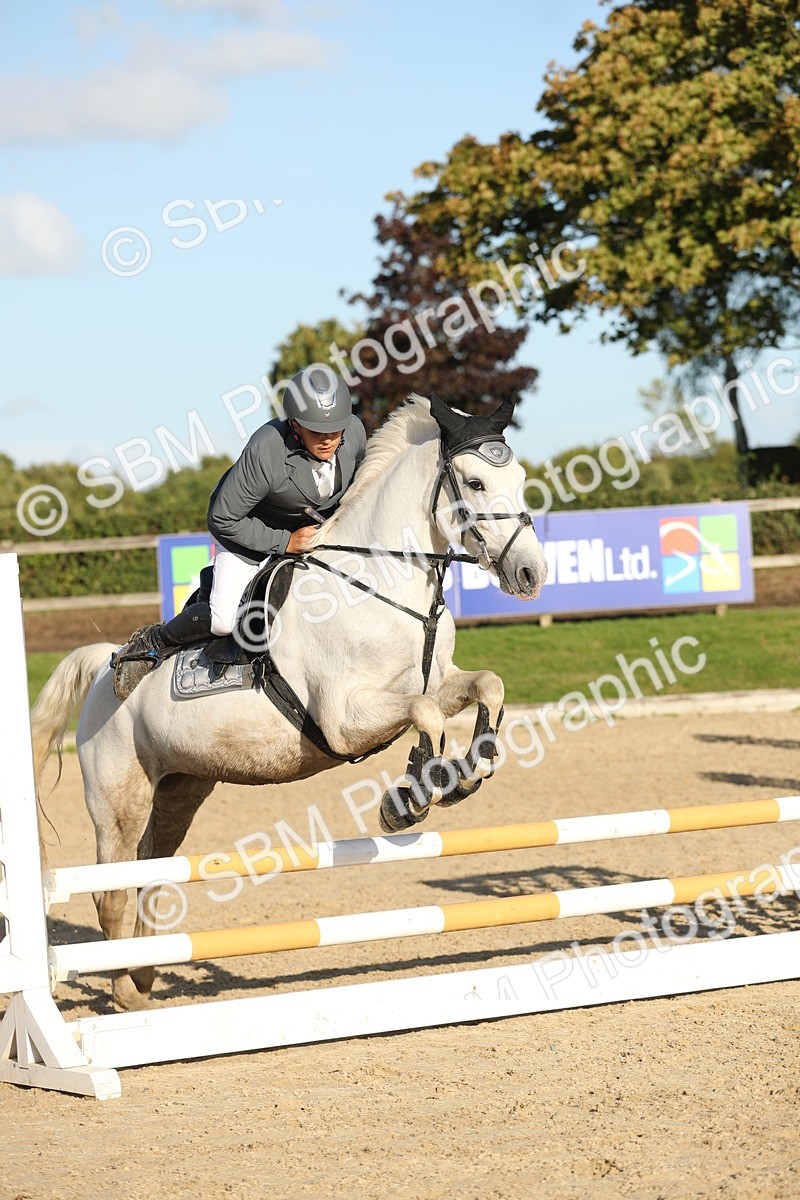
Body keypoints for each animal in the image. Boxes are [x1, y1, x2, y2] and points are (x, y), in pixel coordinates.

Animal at [31, 393, 547, 1010]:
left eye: (520, 479)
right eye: (473, 482)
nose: (531, 572)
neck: (381, 583)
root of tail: (102, 669)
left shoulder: (436, 679)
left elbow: (486, 685)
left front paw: (471, 769)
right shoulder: (345, 718)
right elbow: (424, 715)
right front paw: (410, 798)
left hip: (180, 790)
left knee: (151, 878)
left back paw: (145, 978)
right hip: (119, 800)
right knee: (110, 893)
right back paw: (127, 999)